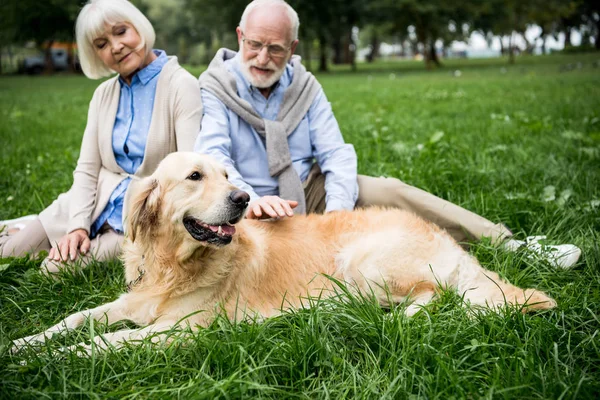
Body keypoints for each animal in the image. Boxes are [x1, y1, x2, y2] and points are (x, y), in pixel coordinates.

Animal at [11, 152, 556, 354]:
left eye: (227, 175)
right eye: (195, 177)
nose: (242, 199)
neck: (173, 265)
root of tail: (444, 237)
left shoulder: (181, 331)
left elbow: (108, 341)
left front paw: (59, 357)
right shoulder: (131, 302)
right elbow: (77, 318)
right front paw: (24, 344)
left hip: (364, 263)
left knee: (433, 298)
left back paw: (387, 319)